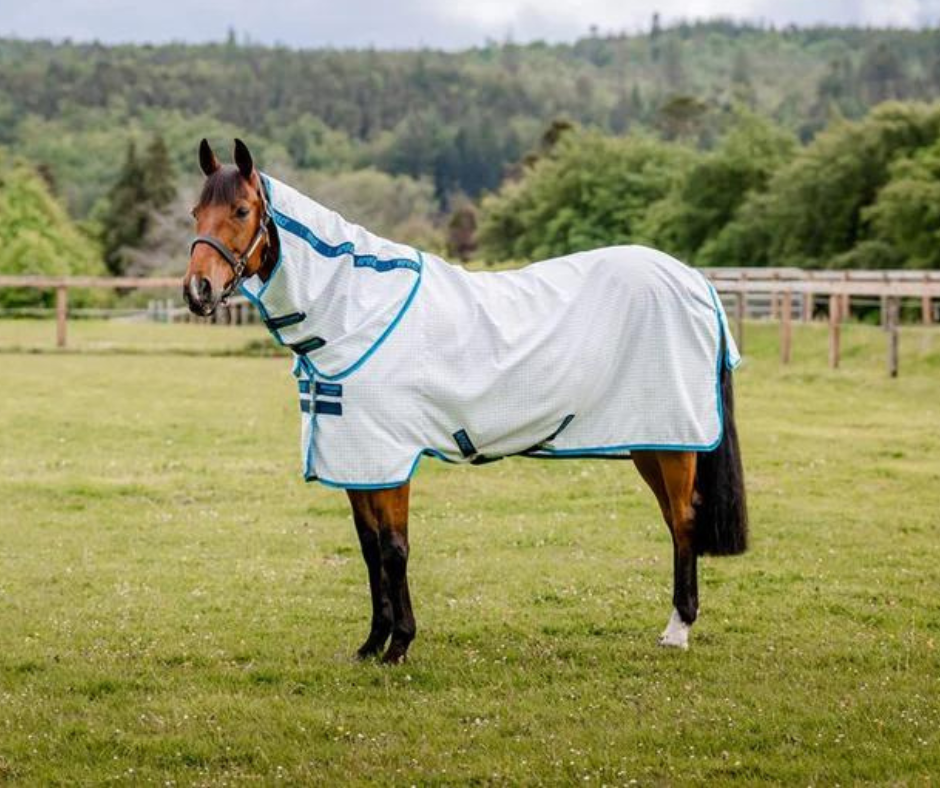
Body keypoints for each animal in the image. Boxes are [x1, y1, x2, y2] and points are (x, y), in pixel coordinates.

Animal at [184, 138, 748, 665]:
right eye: (195, 212)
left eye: (241, 211)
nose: (198, 290)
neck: (355, 310)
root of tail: (695, 281)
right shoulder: (356, 458)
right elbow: (369, 550)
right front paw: (371, 643)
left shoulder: (391, 460)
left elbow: (395, 549)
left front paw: (399, 645)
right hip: (650, 441)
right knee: (675, 520)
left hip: (673, 442)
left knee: (684, 521)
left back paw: (678, 629)